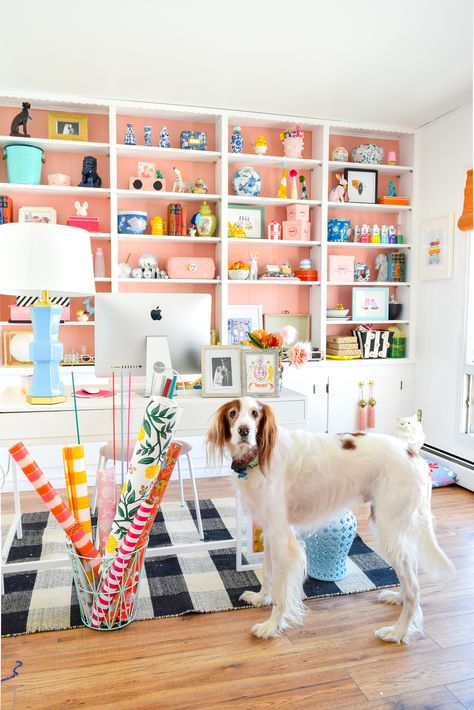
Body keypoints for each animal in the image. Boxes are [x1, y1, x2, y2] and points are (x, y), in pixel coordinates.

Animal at [206, 400, 452, 644]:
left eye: (255, 414)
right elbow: (267, 573)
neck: (258, 457)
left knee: (414, 589)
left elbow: (280, 590)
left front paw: (271, 626)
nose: (244, 431)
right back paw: (397, 598)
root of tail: (413, 453)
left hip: (390, 529)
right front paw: (260, 598)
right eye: (232, 413)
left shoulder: (282, 538)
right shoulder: (269, 530)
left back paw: (398, 632)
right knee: (411, 575)